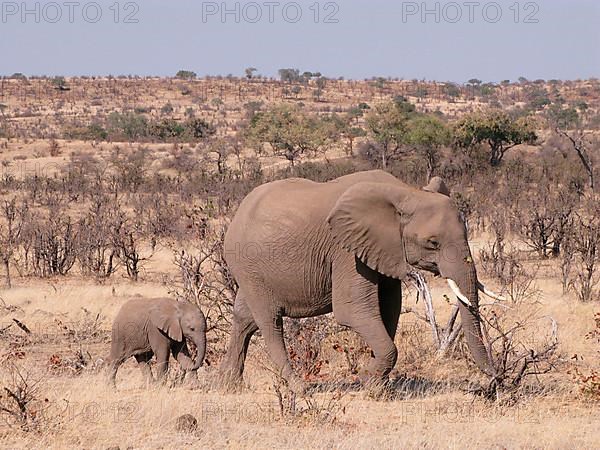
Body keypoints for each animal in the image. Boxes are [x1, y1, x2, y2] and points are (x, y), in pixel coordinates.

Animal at [223, 171, 500, 392]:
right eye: (433, 243)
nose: (496, 378)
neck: (405, 192)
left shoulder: (383, 249)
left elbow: (389, 310)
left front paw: (375, 384)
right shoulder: (346, 250)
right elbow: (353, 311)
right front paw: (369, 382)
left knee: (244, 318)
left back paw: (227, 385)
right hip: (248, 266)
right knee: (270, 322)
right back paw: (298, 388)